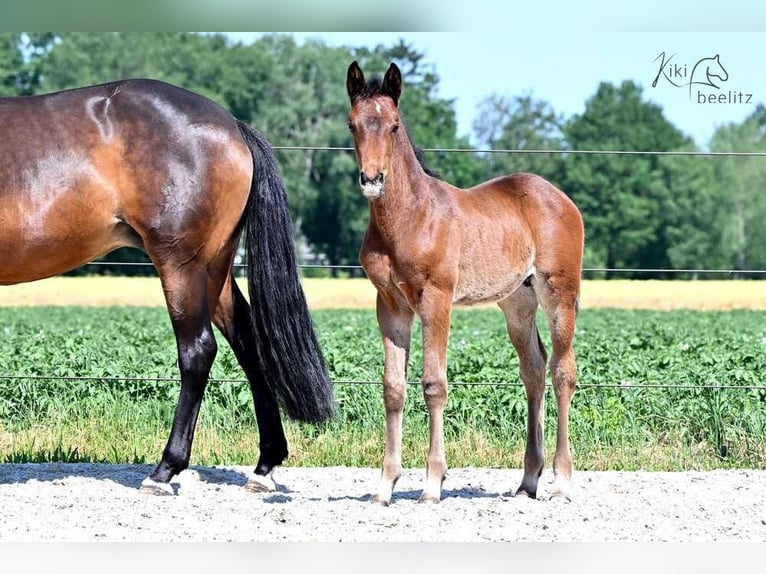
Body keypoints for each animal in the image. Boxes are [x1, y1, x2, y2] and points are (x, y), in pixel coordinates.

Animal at [0, 80, 336, 496]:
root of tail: (232, 125)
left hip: (180, 265)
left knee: (198, 351)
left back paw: (164, 471)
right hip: (214, 270)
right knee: (248, 342)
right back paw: (264, 467)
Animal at [344, 60, 584, 506]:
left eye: (395, 126)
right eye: (353, 124)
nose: (372, 179)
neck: (410, 217)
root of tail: (561, 198)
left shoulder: (436, 298)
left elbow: (433, 384)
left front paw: (432, 484)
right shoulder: (390, 304)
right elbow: (393, 388)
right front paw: (385, 486)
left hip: (559, 293)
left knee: (562, 371)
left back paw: (561, 481)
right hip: (517, 303)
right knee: (534, 369)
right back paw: (528, 480)